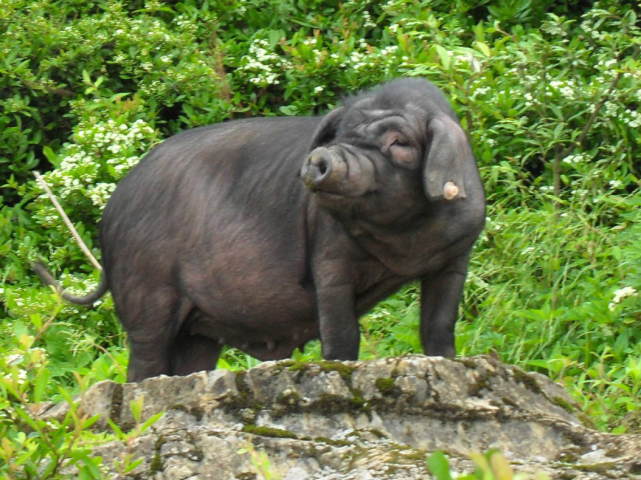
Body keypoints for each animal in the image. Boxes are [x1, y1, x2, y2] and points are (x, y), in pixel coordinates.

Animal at [35, 79, 482, 380]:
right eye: (340, 135)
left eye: (399, 142)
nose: (322, 157)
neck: (404, 244)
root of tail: (110, 212)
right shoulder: (329, 259)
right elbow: (340, 330)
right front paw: (341, 369)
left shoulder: (456, 258)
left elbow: (439, 323)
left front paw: (449, 362)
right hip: (145, 291)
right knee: (145, 360)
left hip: (198, 327)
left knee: (189, 360)